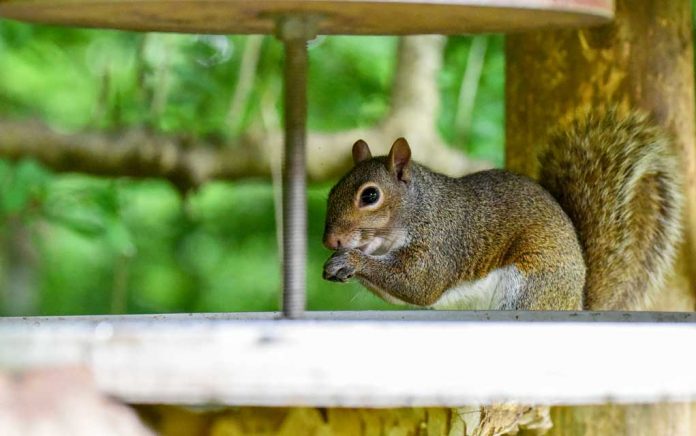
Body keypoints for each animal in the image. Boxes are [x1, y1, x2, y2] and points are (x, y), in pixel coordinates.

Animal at [324, 109, 684, 310]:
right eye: (331, 191)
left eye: (370, 195)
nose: (331, 241)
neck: (419, 209)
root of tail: (576, 302)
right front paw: (338, 264)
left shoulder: (443, 243)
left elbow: (420, 284)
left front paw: (351, 260)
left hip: (531, 284)